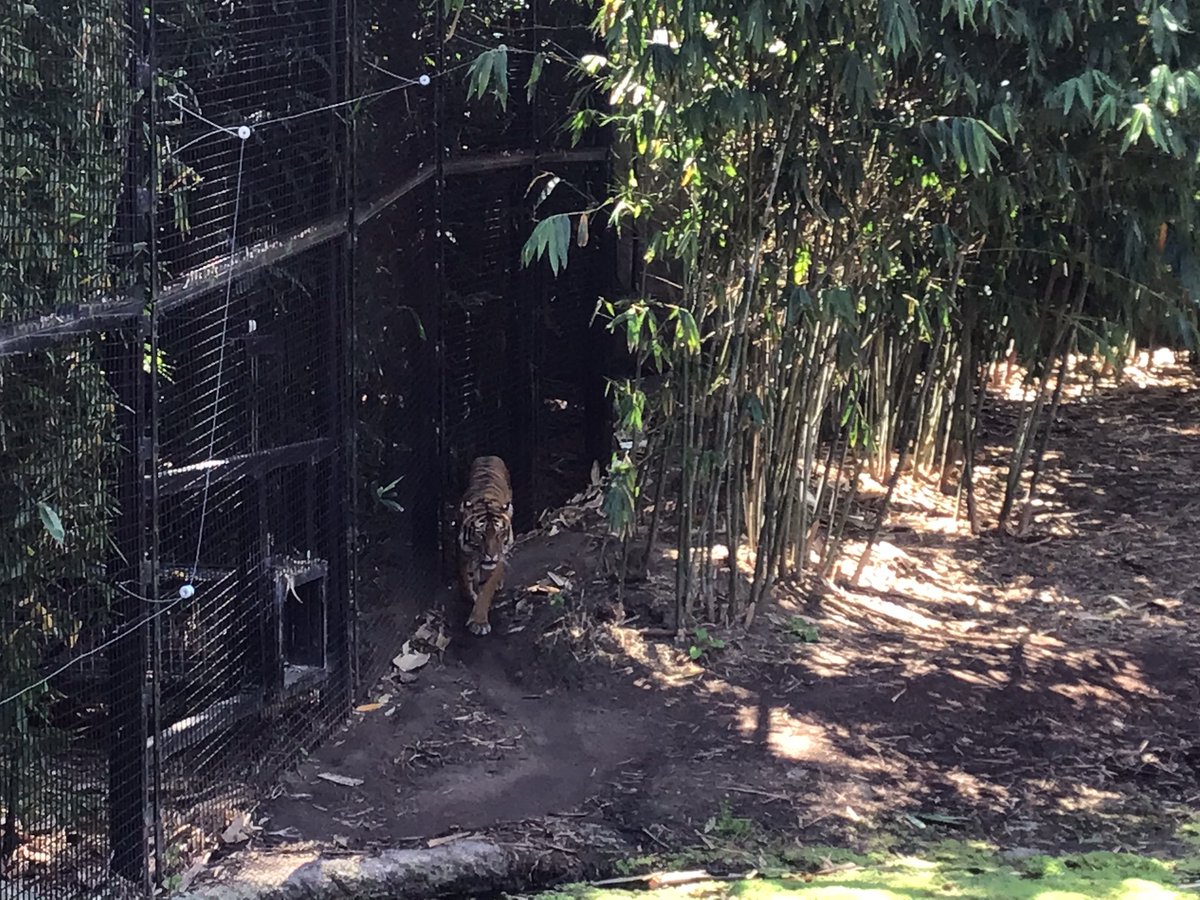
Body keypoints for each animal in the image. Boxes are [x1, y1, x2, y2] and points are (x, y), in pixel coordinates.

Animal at [457, 455, 514, 636]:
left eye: (499, 533)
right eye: (480, 534)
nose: (491, 555)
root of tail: (488, 456)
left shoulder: (498, 561)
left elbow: (486, 589)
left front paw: (479, 621)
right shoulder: (464, 554)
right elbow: (465, 579)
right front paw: (469, 595)